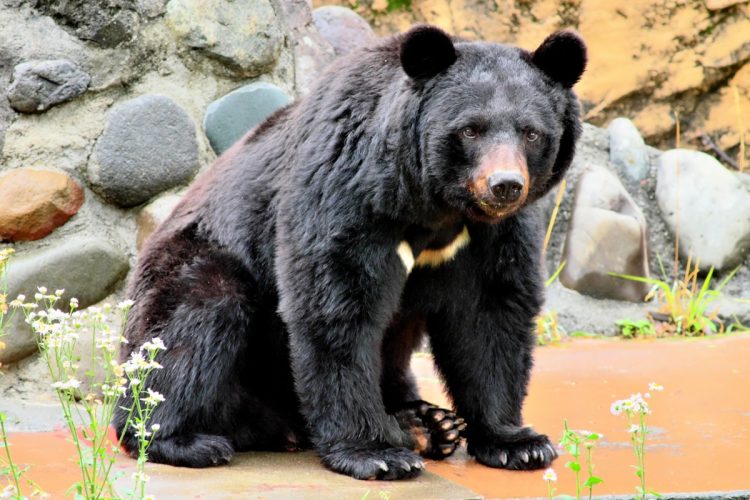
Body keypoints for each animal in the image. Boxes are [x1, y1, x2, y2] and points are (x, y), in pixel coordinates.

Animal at [114, 25, 587, 481]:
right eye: (470, 129)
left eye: (531, 133)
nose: (505, 185)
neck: (437, 207)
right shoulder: (347, 189)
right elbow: (337, 303)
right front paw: (376, 454)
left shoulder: (494, 232)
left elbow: (491, 313)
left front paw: (518, 443)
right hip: (194, 265)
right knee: (191, 326)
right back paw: (184, 439)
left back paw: (430, 424)